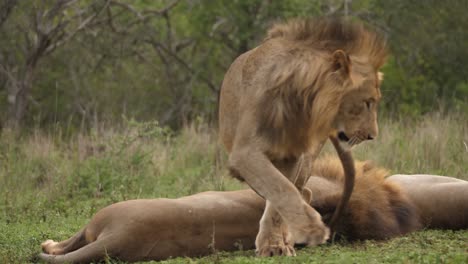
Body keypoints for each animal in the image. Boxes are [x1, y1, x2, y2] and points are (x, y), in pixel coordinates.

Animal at [219, 18, 388, 256]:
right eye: (367, 102)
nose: (372, 135)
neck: (301, 104)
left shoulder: (291, 156)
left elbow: (280, 197)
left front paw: (276, 244)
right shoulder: (245, 152)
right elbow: (281, 189)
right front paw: (310, 229)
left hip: (307, 161)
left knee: (303, 191)